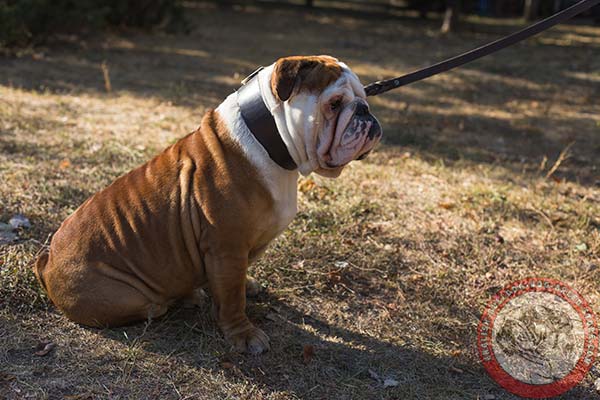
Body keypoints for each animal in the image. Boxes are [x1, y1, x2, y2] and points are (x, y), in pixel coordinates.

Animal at [35, 55, 382, 354]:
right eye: (334, 104)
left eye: (364, 96)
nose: (365, 111)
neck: (270, 140)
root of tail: (47, 260)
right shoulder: (226, 248)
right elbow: (231, 299)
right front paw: (243, 335)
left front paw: (247, 286)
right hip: (124, 295)